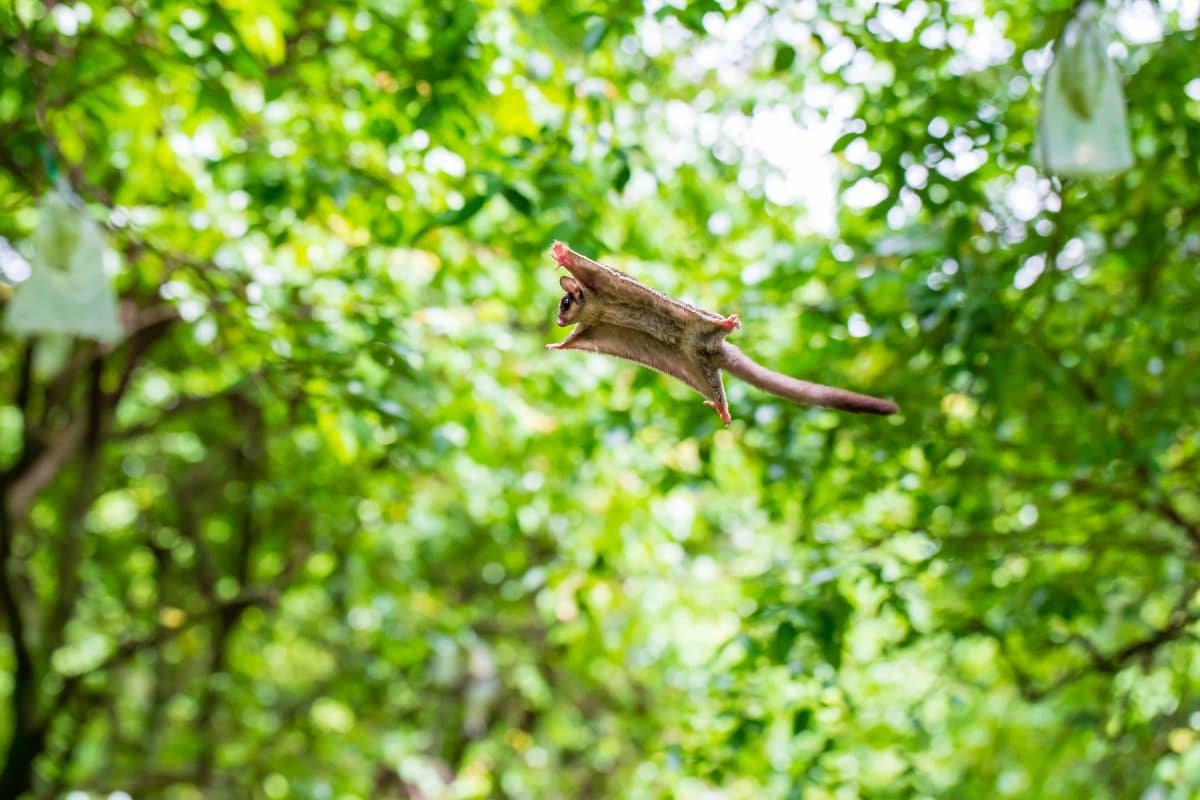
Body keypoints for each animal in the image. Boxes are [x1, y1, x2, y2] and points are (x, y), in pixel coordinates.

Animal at [549, 241, 897, 424]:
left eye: (565, 303)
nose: (558, 321)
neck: (597, 308)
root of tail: (714, 348)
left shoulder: (602, 283)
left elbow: (587, 267)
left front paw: (563, 254)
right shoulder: (592, 326)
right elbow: (577, 340)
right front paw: (558, 345)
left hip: (700, 323)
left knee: (712, 323)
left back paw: (726, 325)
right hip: (698, 367)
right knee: (714, 387)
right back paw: (722, 408)